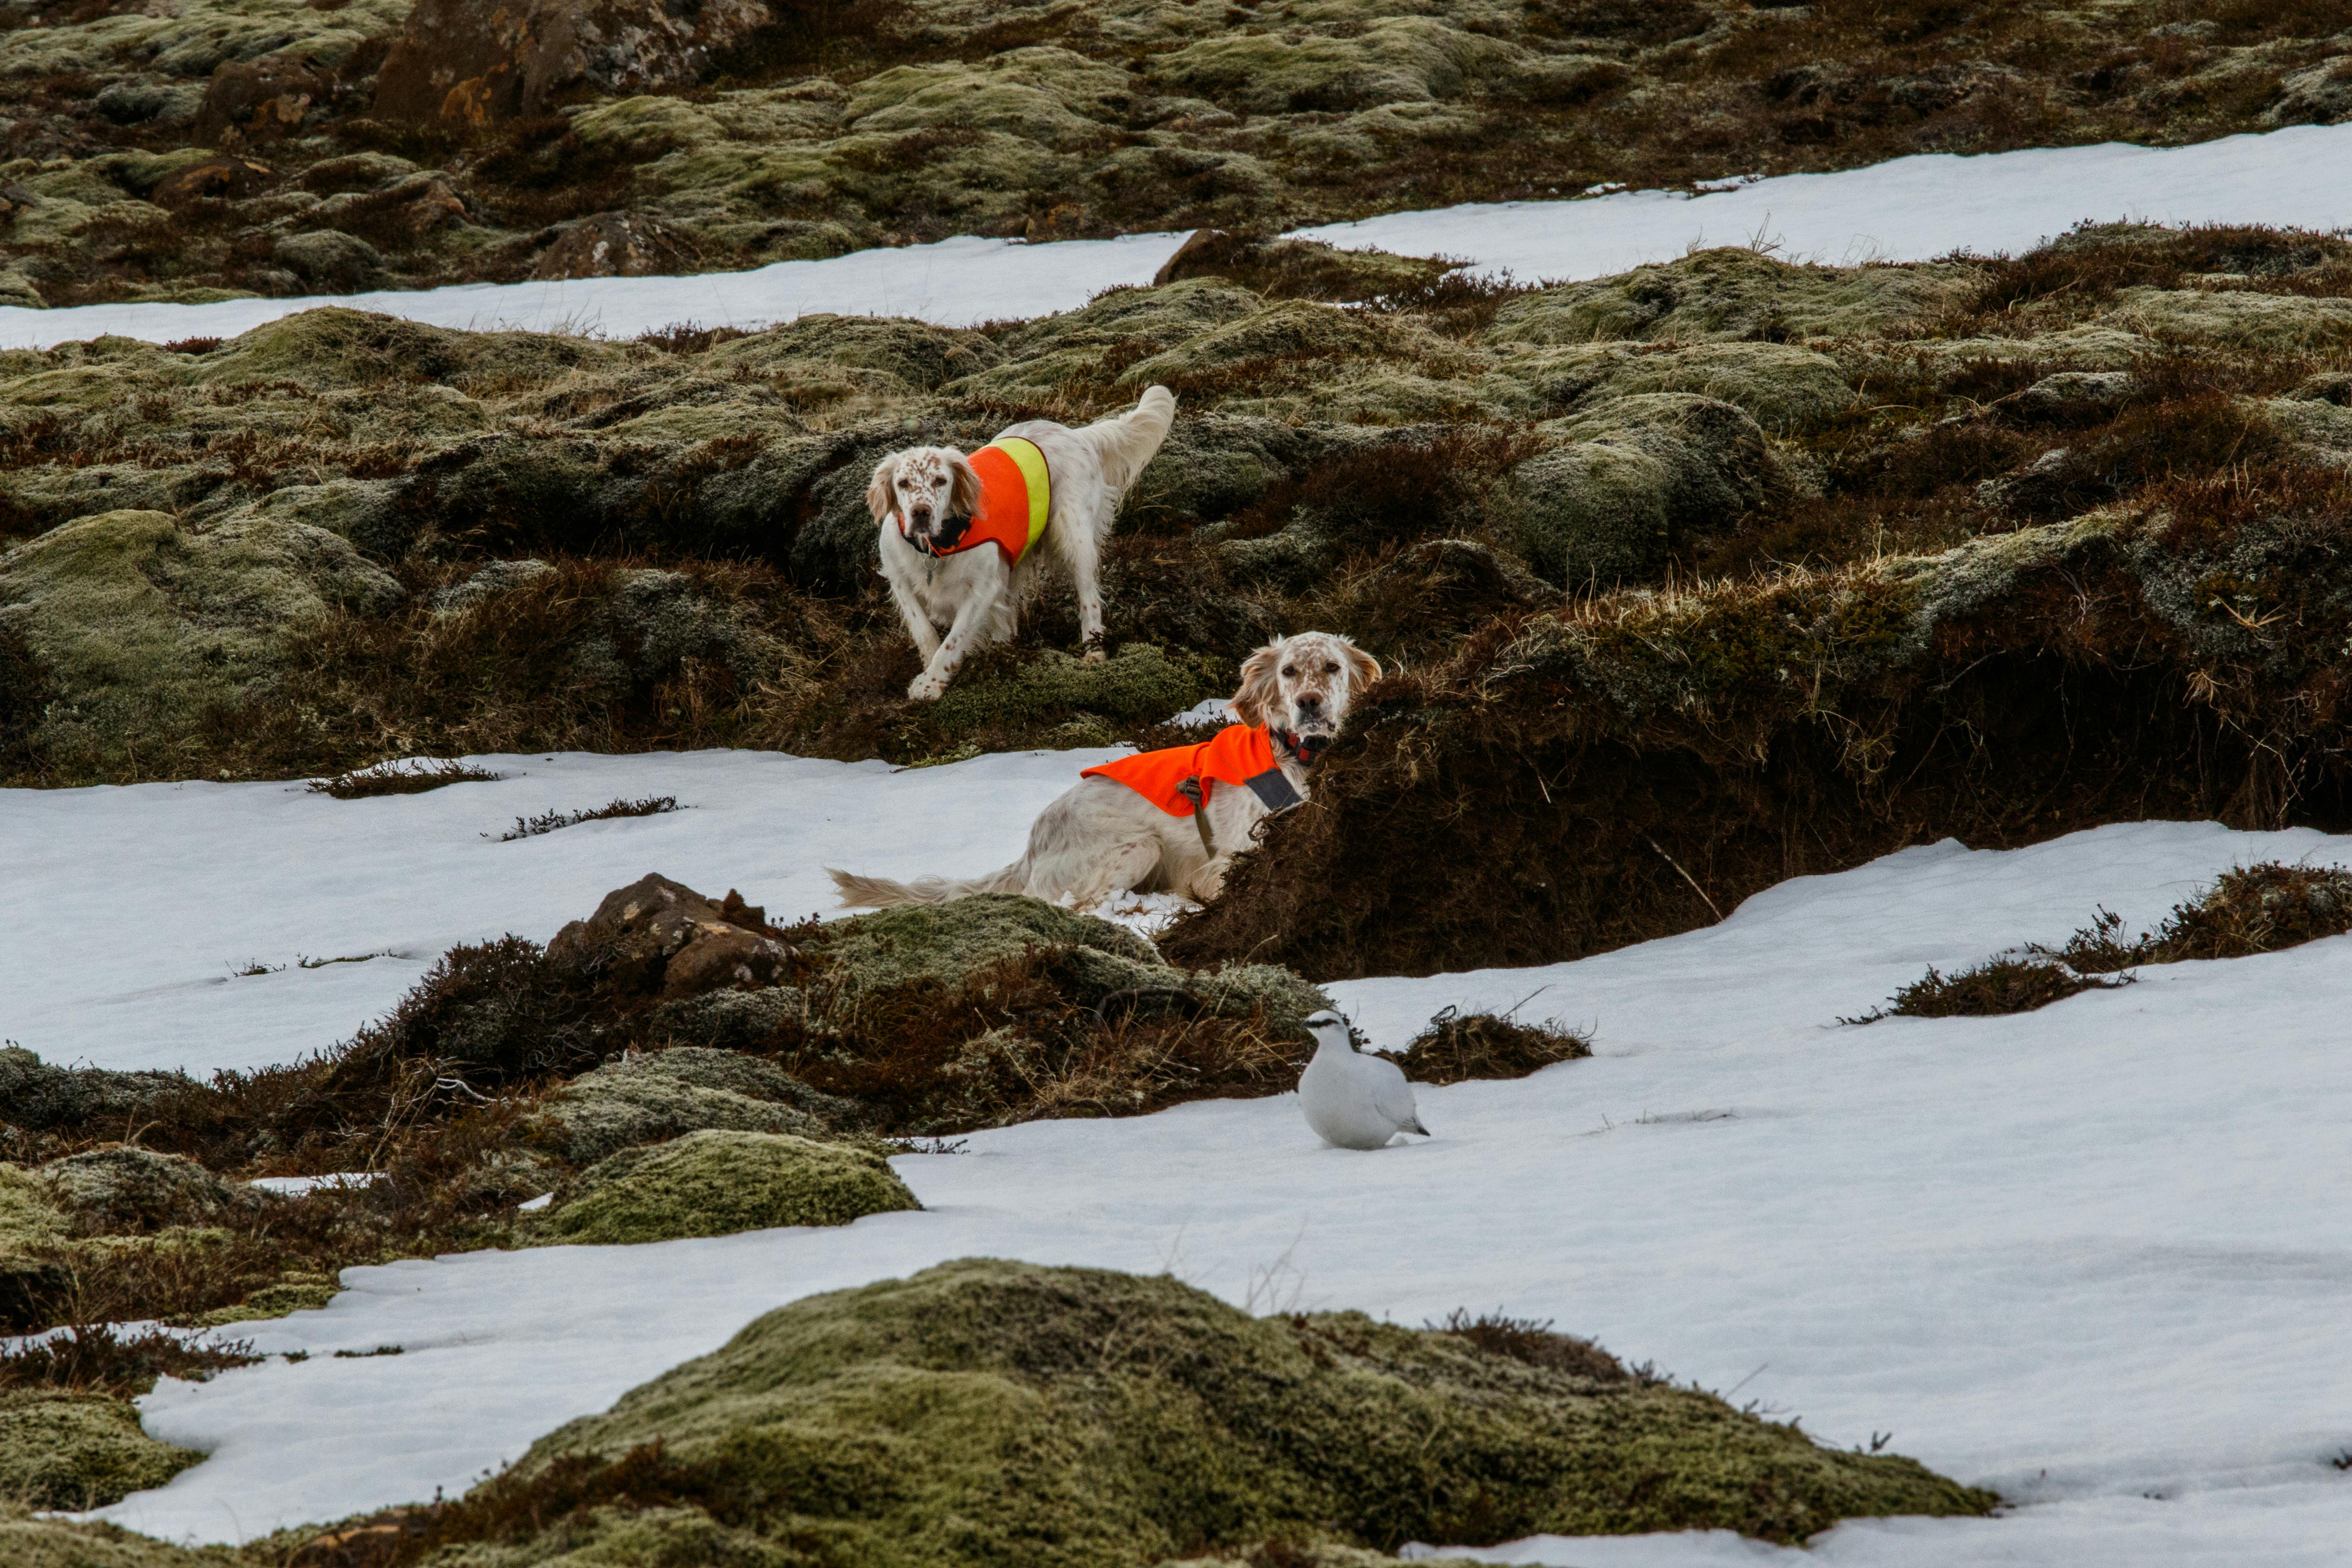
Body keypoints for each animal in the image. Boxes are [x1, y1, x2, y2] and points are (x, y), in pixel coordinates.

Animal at [870, 383, 1176, 700]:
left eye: (941, 481)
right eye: (903, 483)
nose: (920, 513)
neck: (939, 545)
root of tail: (1076, 434)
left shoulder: (983, 588)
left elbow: (954, 640)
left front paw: (931, 682)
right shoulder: (899, 579)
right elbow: (923, 628)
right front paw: (930, 666)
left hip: (1074, 536)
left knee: (1089, 598)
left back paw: (1094, 651)